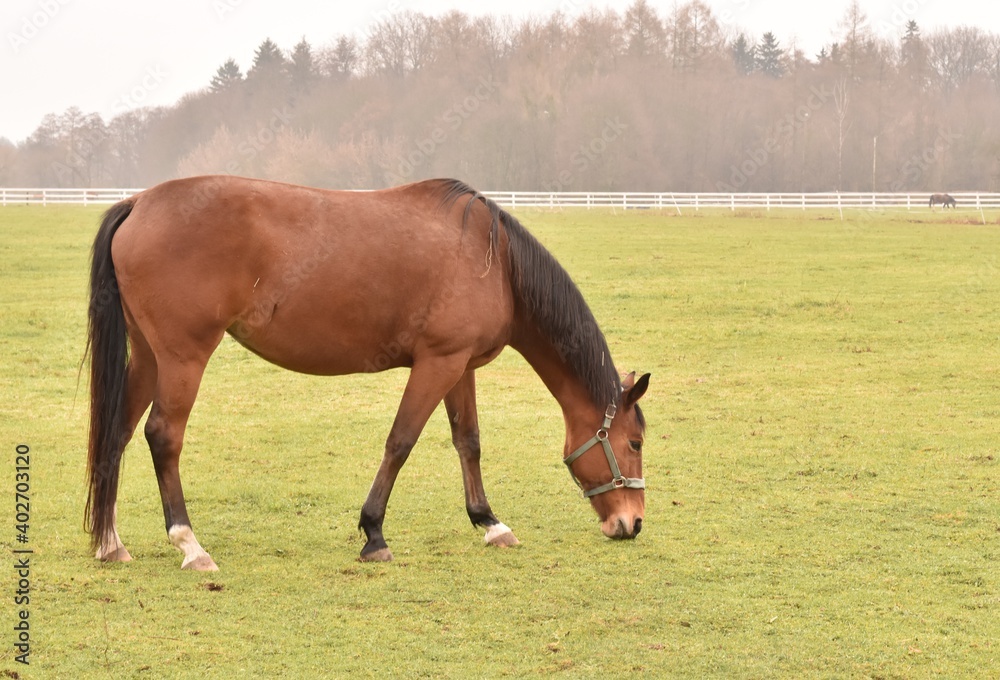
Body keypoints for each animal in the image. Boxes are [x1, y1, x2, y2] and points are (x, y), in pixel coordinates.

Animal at [86, 175, 650, 570]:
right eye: (635, 443)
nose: (632, 522)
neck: (496, 262)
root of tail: (139, 202)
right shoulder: (437, 363)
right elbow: (401, 442)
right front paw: (373, 533)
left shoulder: (459, 365)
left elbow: (467, 441)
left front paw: (489, 522)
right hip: (183, 359)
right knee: (163, 436)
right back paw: (189, 543)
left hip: (149, 358)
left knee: (116, 433)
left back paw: (111, 543)